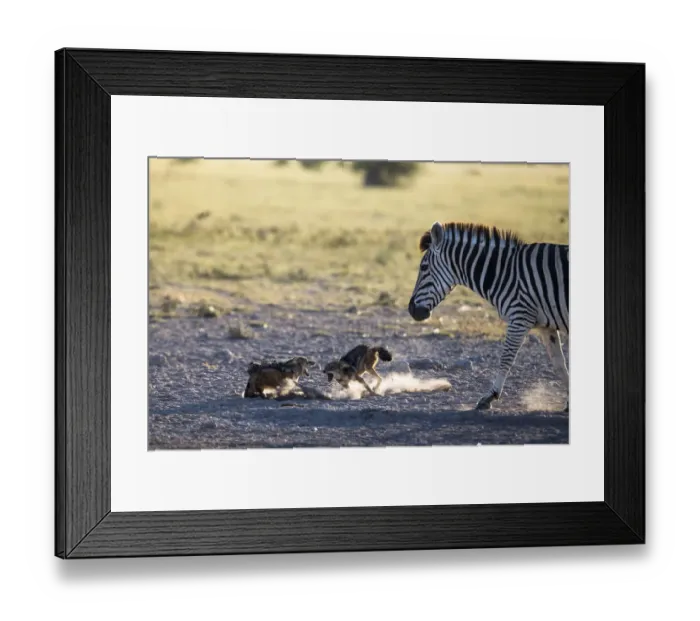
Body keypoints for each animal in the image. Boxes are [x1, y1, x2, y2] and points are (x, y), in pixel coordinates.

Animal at [407, 221, 569, 412]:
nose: (411, 309)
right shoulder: (545, 326)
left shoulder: (520, 317)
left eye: (423, 267)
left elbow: (506, 359)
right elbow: (559, 364)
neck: (505, 273)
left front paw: (489, 397)